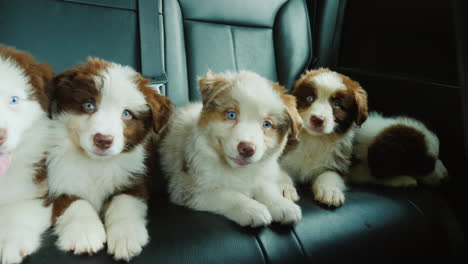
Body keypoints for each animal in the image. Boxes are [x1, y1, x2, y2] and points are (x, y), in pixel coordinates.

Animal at [46, 56, 174, 260]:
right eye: (89, 105)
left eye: (126, 114)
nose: (103, 140)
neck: (95, 163)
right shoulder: (56, 180)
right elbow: (73, 201)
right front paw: (84, 233)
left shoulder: (135, 181)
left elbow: (123, 203)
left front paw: (126, 237)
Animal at [159, 71, 302, 228]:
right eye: (231, 115)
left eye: (266, 124)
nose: (247, 149)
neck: (237, 170)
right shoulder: (186, 187)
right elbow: (226, 194)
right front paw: (251, 208)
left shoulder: (260, 172)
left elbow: (265, 187)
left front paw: (281, 205)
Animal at [280, 68, 368, 208]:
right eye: (309, 98)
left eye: (337, 104)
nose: (317, 119)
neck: (314, 140)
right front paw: (284, 189)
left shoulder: (337, 163)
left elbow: (329, 175)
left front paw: (330, 192)